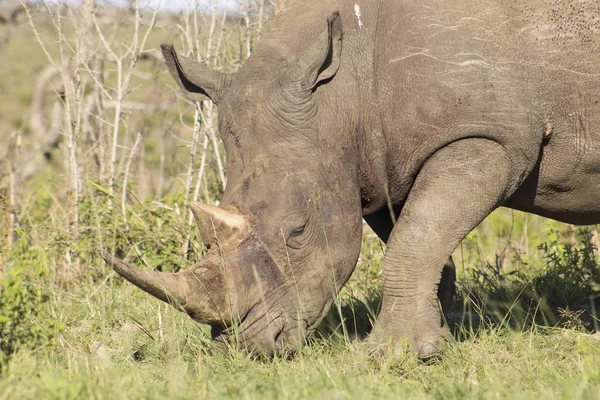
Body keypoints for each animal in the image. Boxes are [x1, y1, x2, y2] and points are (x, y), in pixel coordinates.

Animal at [103, 0, 600, 356]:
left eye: (298, 231)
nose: (242, 349)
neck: (344, 88)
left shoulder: (489, 136)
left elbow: (414, 238)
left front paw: (392, 352)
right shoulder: (378, 165)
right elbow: (417, 239)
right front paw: (432, 337)